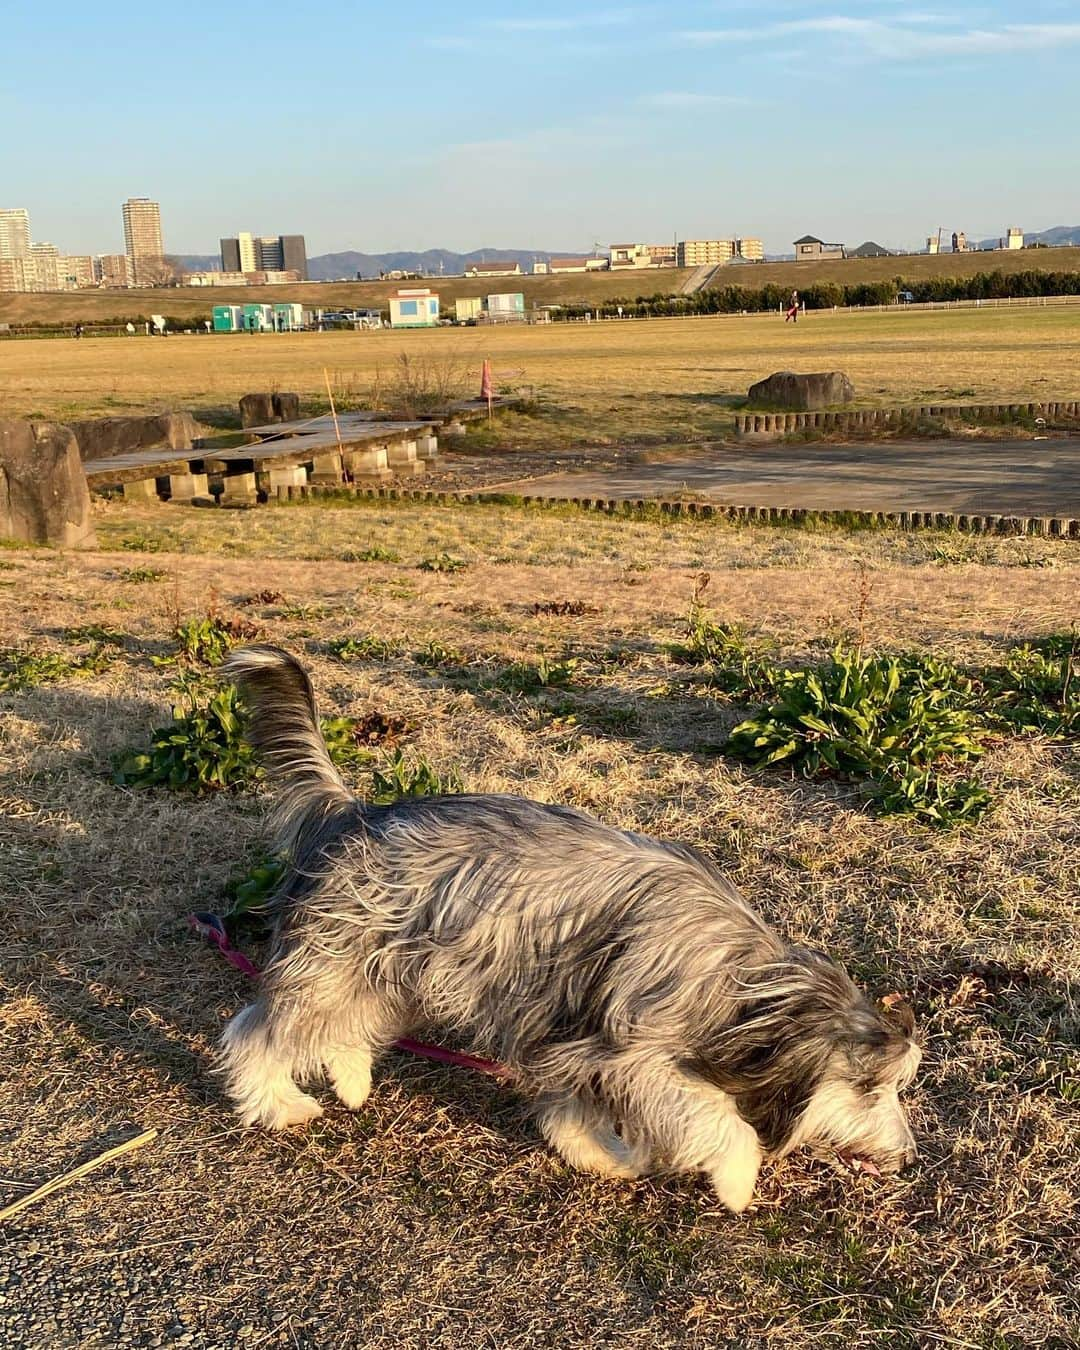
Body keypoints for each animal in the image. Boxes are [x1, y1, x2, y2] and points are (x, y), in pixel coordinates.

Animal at [217, 645, 918, 1215]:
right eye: (869, 1090)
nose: (909, 1157)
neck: (741, 983)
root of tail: (353, 811)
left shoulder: (575, 1040)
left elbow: (571, 1116)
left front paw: (601, 1155)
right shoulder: (630, 1051)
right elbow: (717, 1114)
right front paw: (738, 1179)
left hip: (398, 974)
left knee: (346, 1028)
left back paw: (353, 1082)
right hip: (336, 961)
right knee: (258, 1030)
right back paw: (276, 1103)